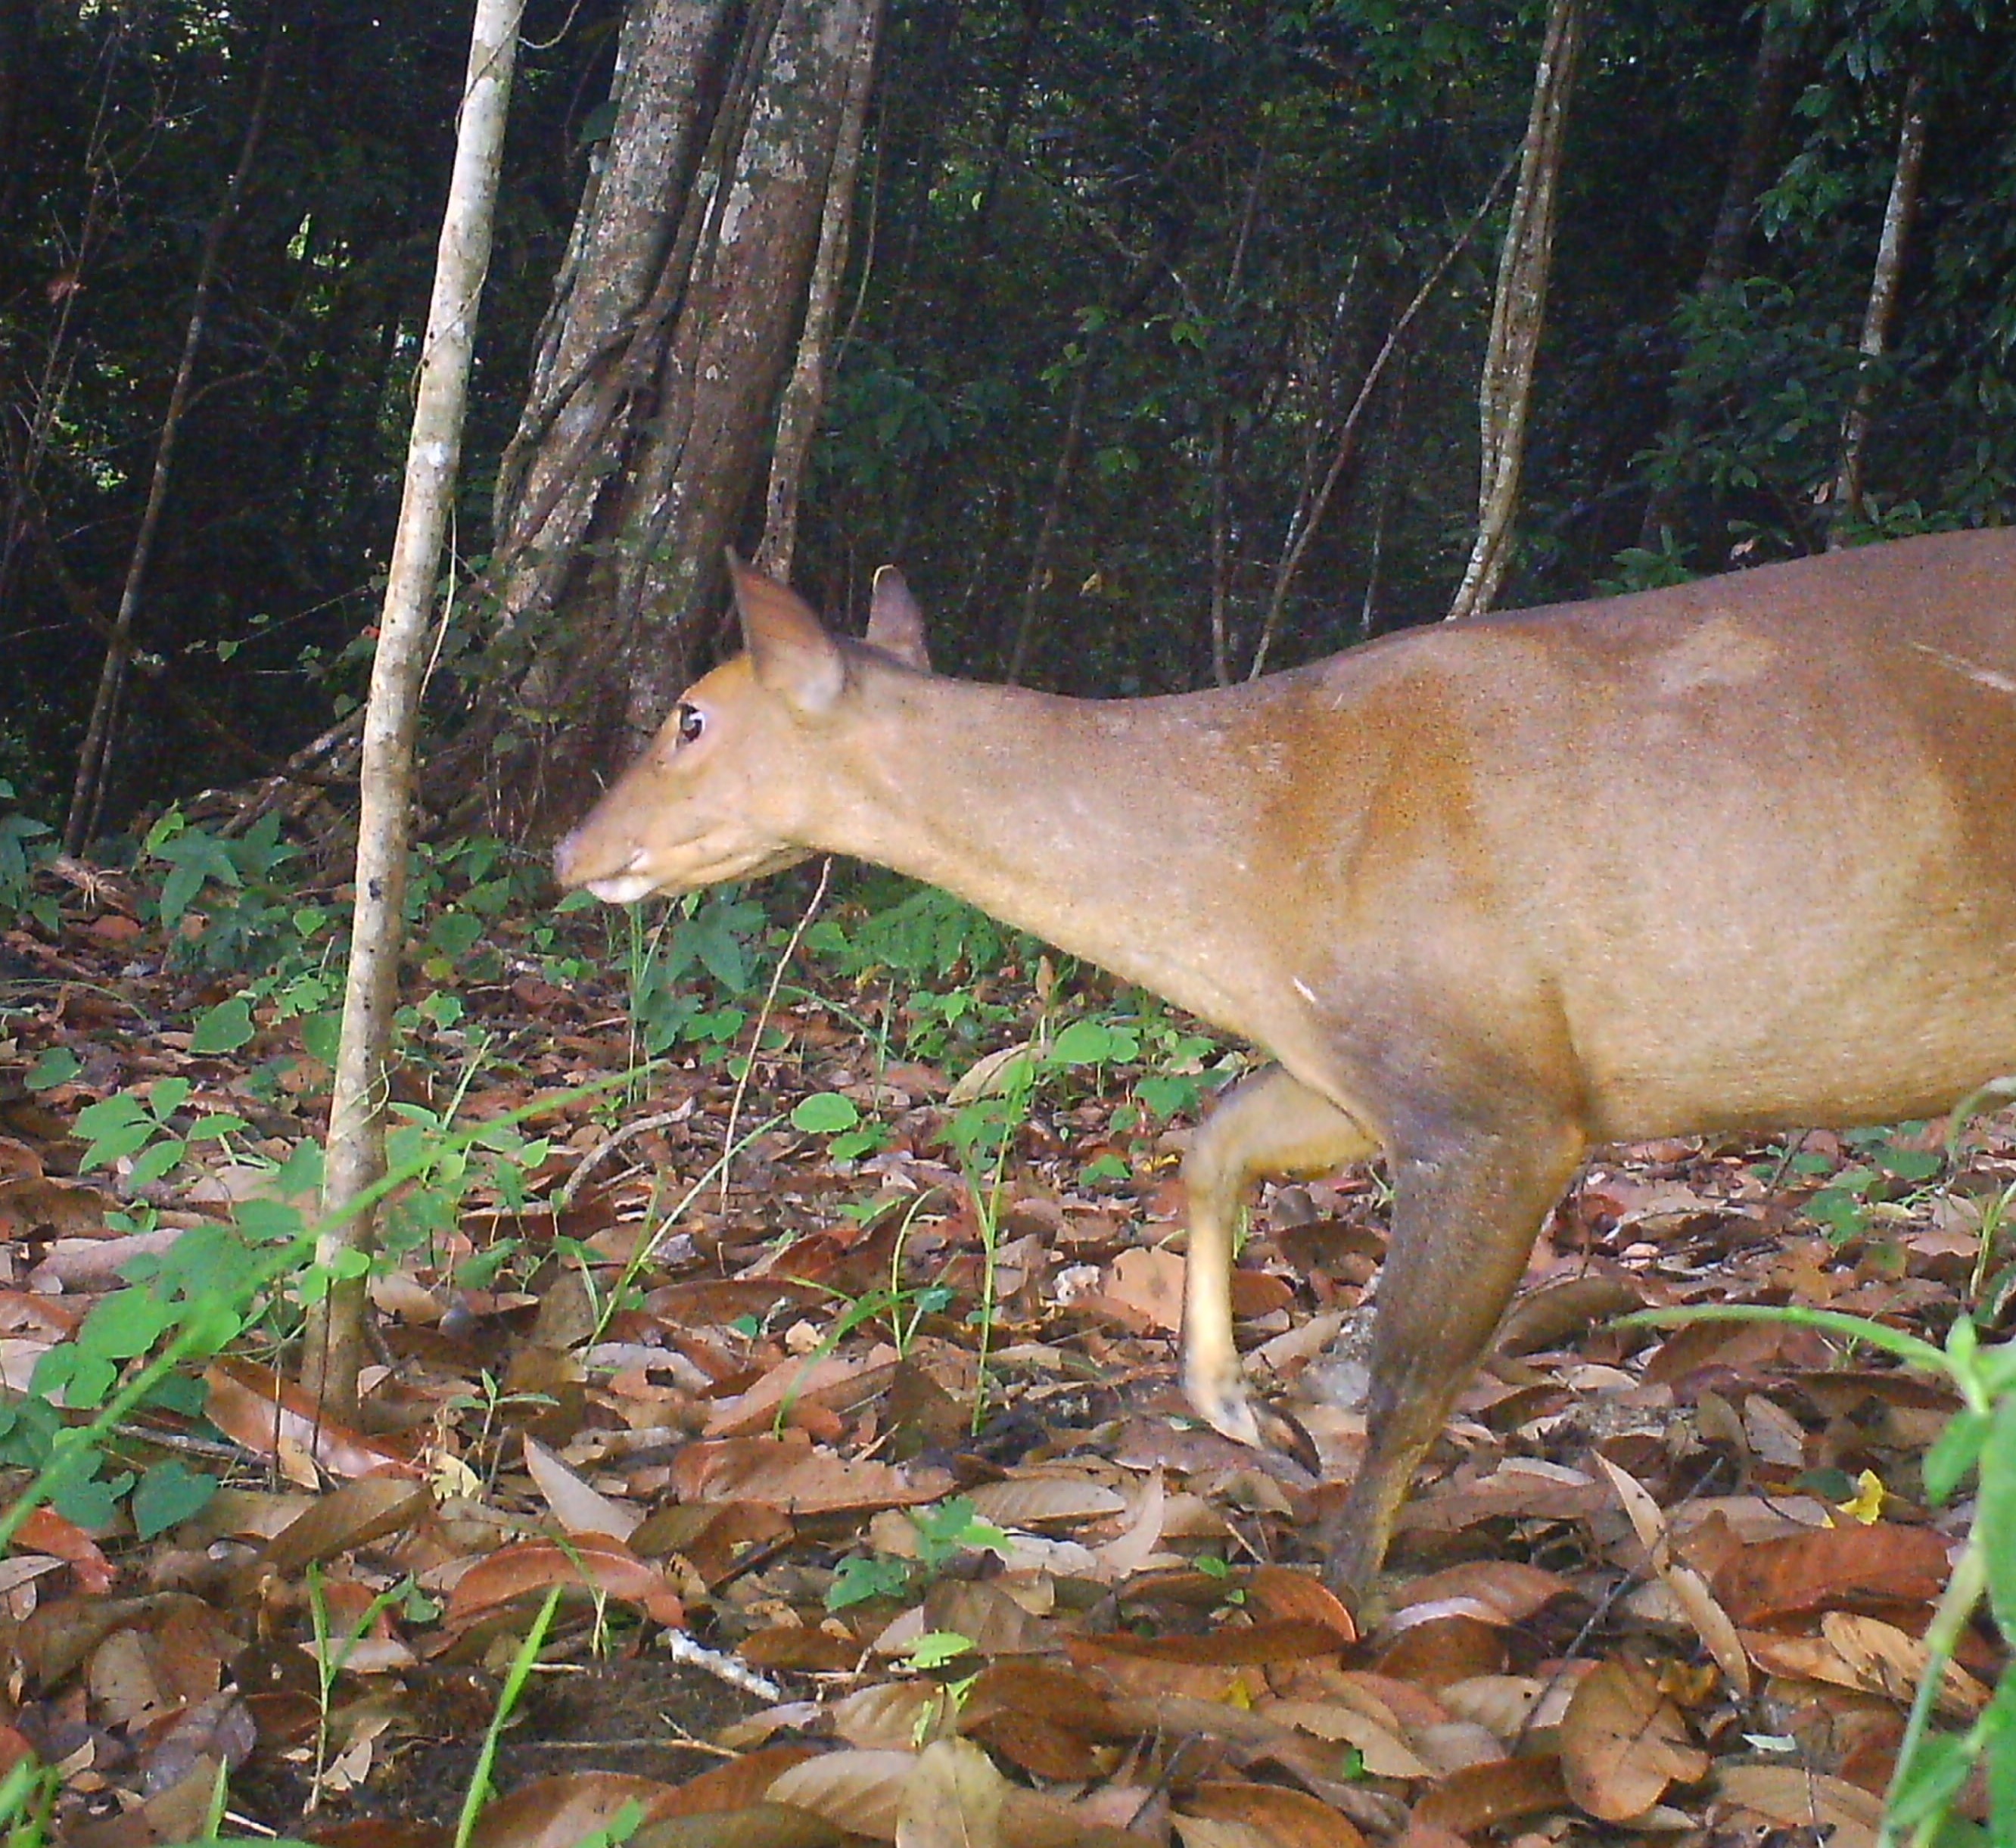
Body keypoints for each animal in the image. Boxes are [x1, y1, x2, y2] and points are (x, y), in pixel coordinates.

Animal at [556, 527, 2016, 1596]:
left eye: (689, 716)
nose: (570, 846)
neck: (1254, 866)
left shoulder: (1506, 1099)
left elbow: (1416, 1371)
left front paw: (1342, 1585)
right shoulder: (1364, 1056)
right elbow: (1213, 1142)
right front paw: (1232, 1401)